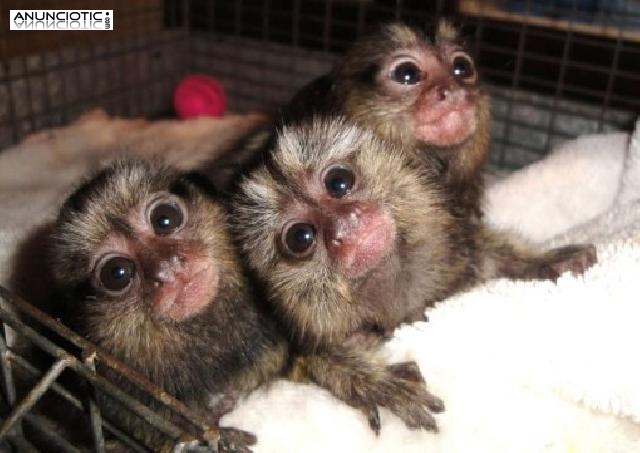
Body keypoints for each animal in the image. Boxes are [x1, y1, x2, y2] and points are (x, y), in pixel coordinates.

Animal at [231, 116, 597, 433]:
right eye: (300, 238)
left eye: (338, 182)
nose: (344, 228)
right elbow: (318, 362)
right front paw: (376, 383)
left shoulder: (456, 253)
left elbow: (491, 253)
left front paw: (544, 261)